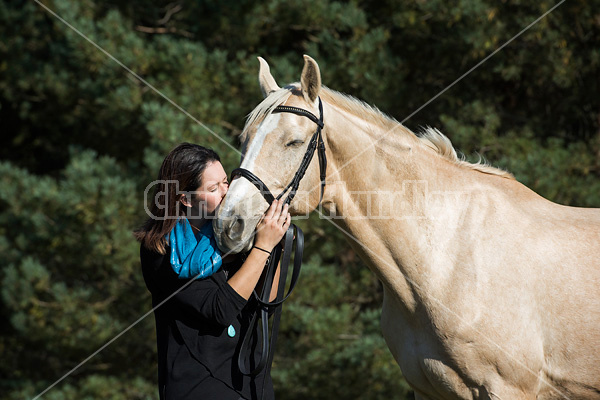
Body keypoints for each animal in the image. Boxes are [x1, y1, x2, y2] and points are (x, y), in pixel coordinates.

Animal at [214, 54, 600, 398]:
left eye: (293, 142)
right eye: (244, 139)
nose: (227, 225)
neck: (447, 257)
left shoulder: (507, 389)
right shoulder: (427, 390)